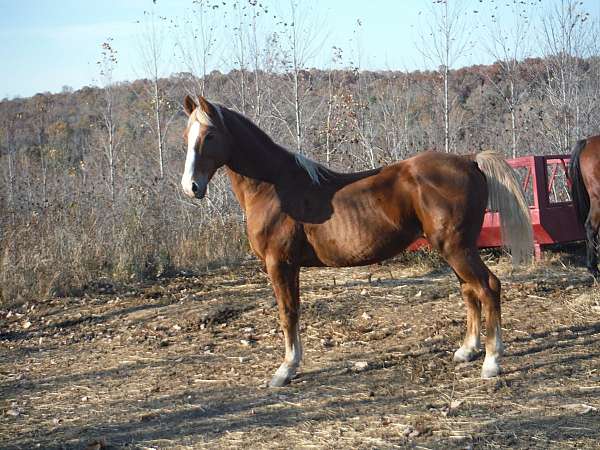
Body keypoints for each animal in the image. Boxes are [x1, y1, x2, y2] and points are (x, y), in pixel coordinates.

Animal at [179, 95, 536, 386]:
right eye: (187, 137)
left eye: (210, 135)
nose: (191, 187)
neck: (275, 188)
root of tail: (469, 159)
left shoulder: (279, 264)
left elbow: (288, 312)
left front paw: (285, 370)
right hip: (455, 250)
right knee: (469, 290)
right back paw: (467, 351)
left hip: (457, 248)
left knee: (488, 287)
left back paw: (491, 362)